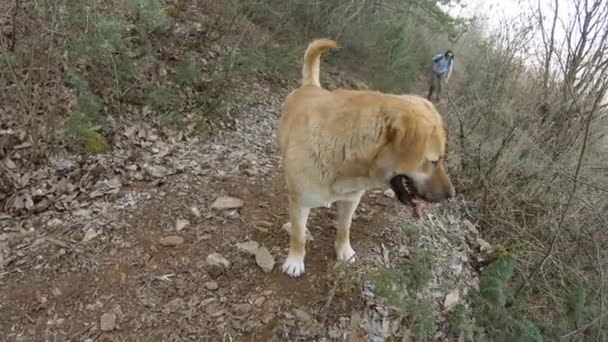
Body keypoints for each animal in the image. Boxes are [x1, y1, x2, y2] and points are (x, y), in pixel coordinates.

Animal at [278, 38, 454, 276]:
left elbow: (344, 229)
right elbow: (298, 236)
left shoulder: (351, 200)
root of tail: (311, 86)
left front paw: (344, 251)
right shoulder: (300, 204)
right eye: (434, 161)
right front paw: (295, 260)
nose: (451, 195)